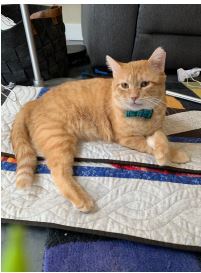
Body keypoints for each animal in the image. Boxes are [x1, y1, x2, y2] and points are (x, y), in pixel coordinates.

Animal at [11, 47, 190, 211]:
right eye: (125, 85)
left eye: (144, 84)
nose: (133, 97)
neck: (143, 116)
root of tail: (35, 101)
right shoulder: (126, 138)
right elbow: (149, 145)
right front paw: (167, 154)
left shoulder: (156, 129)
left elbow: (162, 137)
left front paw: (169, 152)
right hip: (59, 140)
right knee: (58, 173)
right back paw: (82, 200)